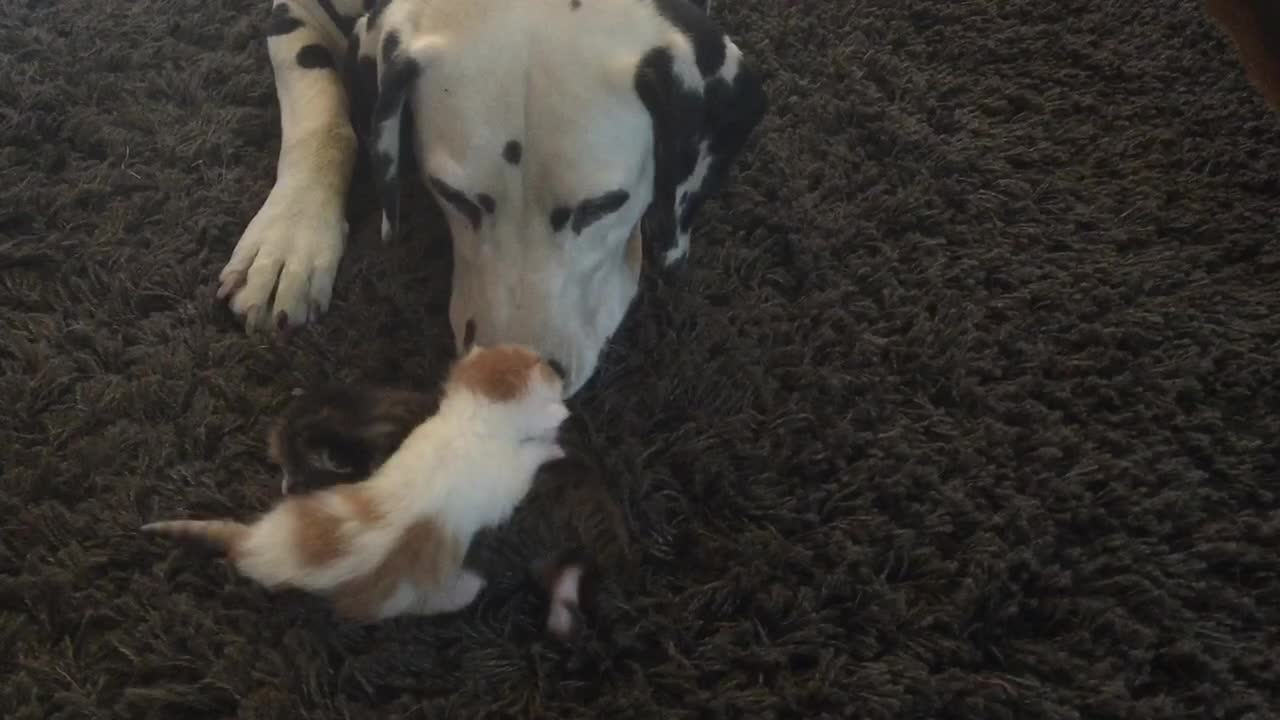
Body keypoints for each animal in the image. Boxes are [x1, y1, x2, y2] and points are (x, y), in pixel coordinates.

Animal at [136, 340, 570, 617]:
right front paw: (554, 444)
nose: (561, 367)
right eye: (544, 365)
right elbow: (530, 459)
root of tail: (255, 544)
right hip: (398, 596)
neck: (472, 418)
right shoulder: (508, 480)